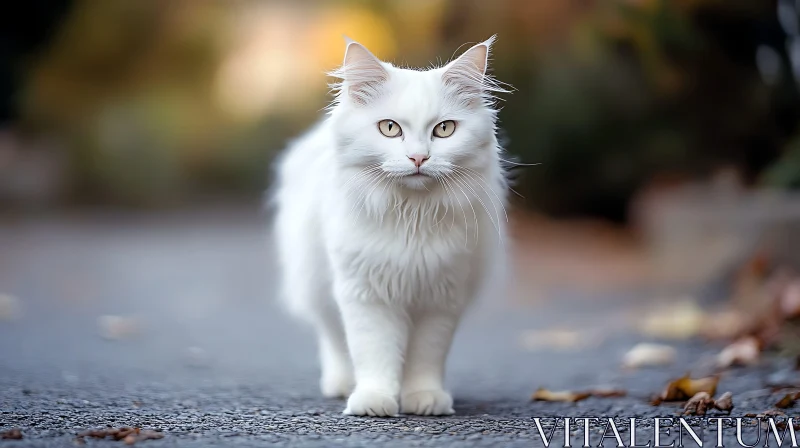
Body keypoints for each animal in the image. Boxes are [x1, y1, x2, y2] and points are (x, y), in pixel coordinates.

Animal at [272, 36, 510, 418]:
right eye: (389, 128)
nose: (418, 158)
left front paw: (424, 399)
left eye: (444, 129)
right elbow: (374, 353)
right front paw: (374, 400)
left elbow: (426, 356)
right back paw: (342, 384)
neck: (411, 218)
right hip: (317, 285)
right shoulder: (365, 294)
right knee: (333, 338)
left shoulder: (440, 297)